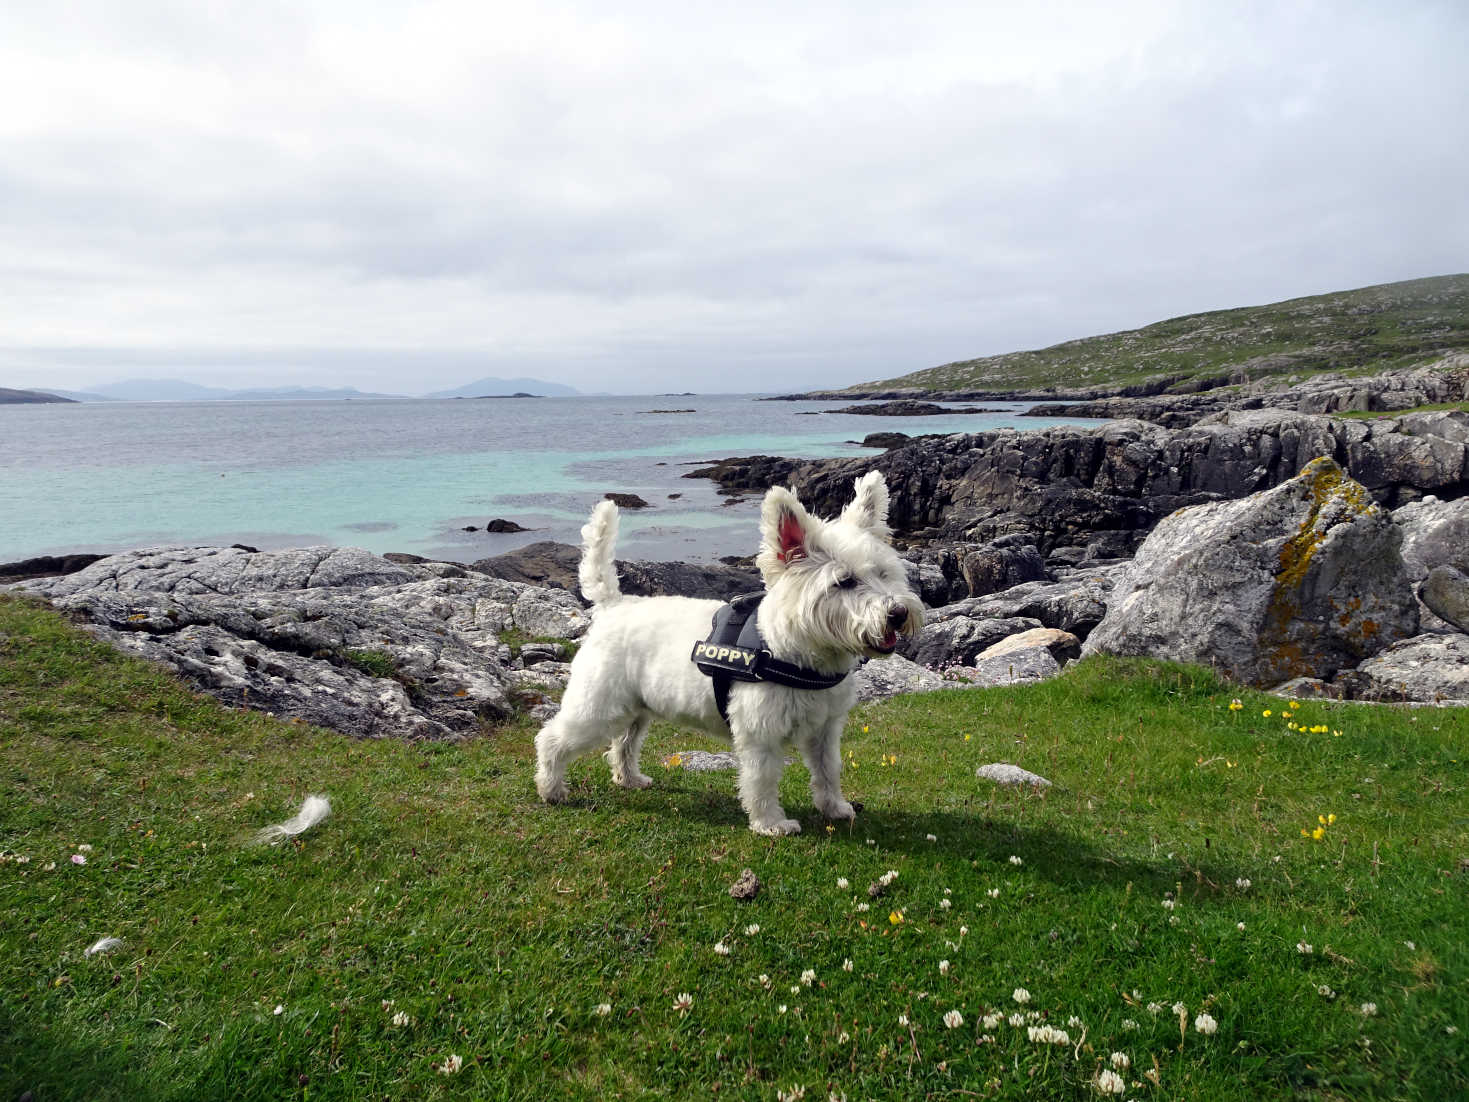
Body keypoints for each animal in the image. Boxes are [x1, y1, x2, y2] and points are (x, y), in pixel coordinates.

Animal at [534, 473, 910, 834]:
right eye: (843, 582)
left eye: (883, 572)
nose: (898, 613)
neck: (801, 654)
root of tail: (613, 605)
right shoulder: (760, 733)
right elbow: (762, 780)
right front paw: (771, 824)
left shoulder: (825, 730)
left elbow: (829, 770)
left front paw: (835, 808)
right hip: (596, 707)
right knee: (552, 739)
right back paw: (551, 789)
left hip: (636, 708)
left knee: (624, 743)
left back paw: (629, 779)